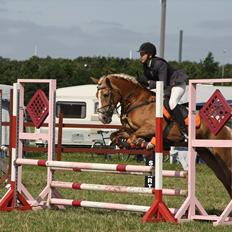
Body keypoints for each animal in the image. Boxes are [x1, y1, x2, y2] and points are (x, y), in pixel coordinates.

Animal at [91, 73, 232, 198]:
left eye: (106, 94)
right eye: (97, 95)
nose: (103, 118)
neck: (137, 101)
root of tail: (227, 128)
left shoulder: (150, 128)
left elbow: (134, 137)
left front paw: (143, 143)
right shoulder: (130, 129)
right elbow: (115, 135)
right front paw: (126, 144)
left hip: (224, 156)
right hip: (209, 157)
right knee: (224, 179)